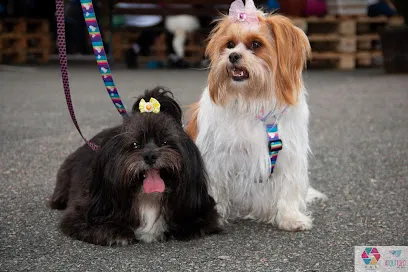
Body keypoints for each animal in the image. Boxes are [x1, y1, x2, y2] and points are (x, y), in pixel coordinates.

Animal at [49, 87, 222, 246]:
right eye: (135, 145)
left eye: (165, 142)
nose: (150, 156)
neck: (147, 197)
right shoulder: (81, 214)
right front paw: (118, 233)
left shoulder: (205, 212)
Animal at [186, 0, 326, 232]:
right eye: (230, 44)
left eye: (256, 44)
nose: (233, 56)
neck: (251, 99)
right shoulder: (214, 159)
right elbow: (214, 190)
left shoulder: (288, 156)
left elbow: (287, 190)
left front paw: (290, 218)